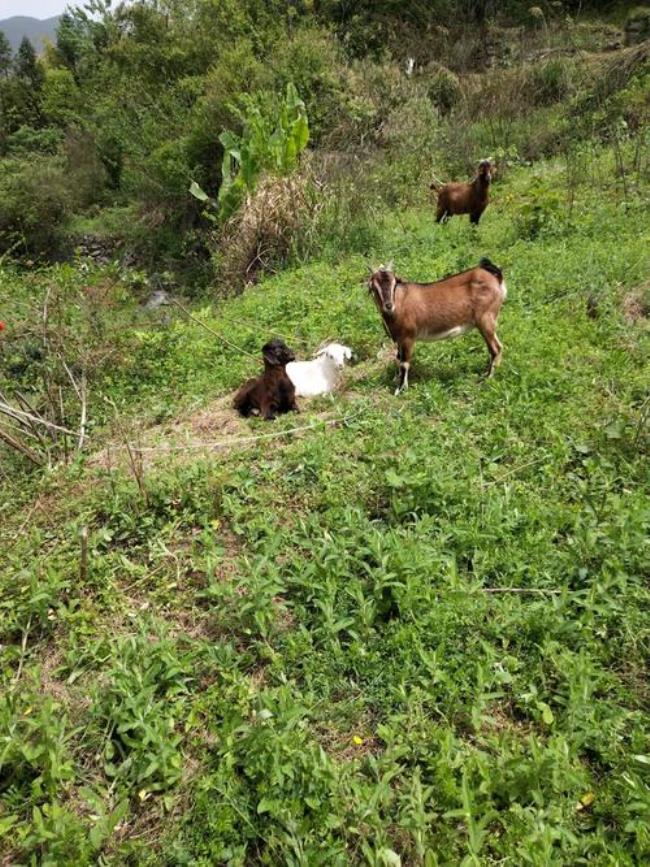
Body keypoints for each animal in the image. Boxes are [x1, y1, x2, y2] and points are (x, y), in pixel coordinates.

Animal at [368, 258, 504, 394]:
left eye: (394, 283)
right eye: (373, 287)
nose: (389, 305)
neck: (399, 303)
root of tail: (493, 275)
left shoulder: (408, 337)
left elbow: (404, 363)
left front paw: (400, 390)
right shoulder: (399, 339)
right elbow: (398, 358)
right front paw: (396, 380)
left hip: (486, 319)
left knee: (496, 348)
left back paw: (488, 378)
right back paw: (485, 373)